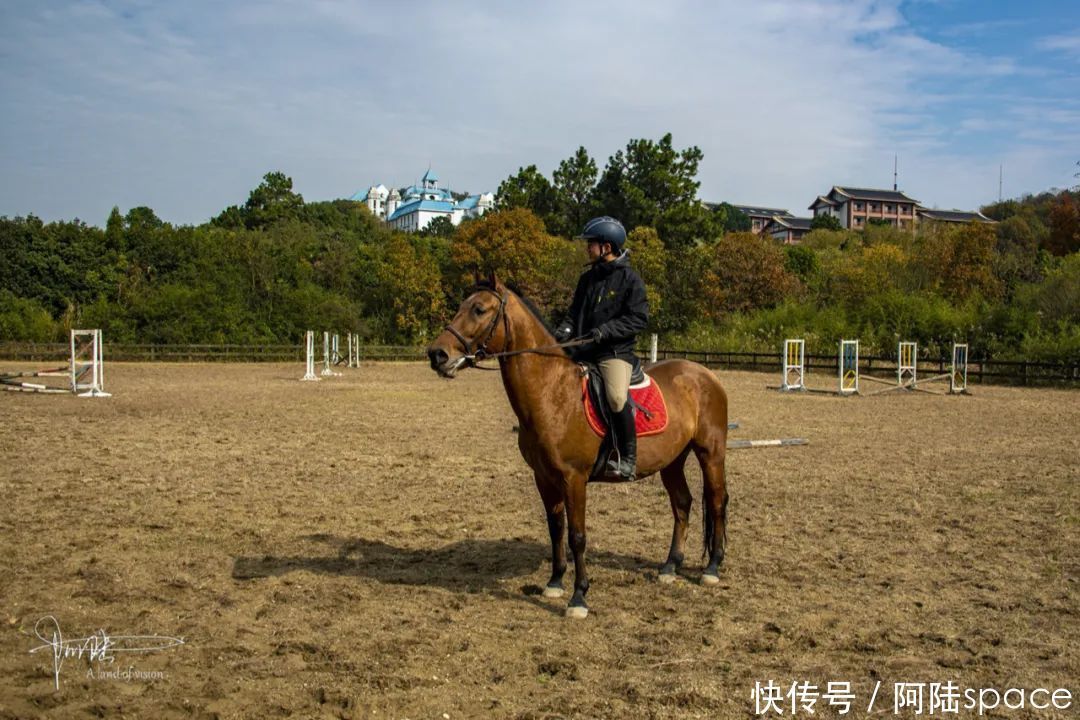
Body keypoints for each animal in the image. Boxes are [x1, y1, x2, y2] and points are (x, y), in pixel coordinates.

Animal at [426, 278, 729, 619]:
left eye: (479, 309)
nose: (437, 354)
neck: (553, 392)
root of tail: (704, 373)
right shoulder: (544, 478)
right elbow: (556, 528)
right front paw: (555, 583)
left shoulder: (574, 479)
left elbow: (577, 536)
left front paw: (579, 598)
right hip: (672, 461)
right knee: (682, 503)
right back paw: (670, 567)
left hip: (711, 453)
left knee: (717, 501)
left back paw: (712, 568)